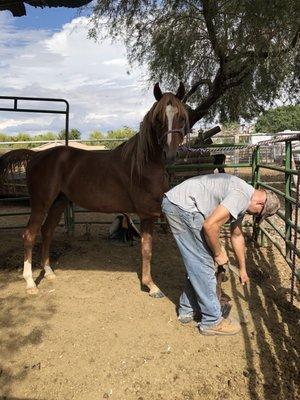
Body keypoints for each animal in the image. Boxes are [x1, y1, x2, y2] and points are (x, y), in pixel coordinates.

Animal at [0, 83, 190, 296]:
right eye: (158, 119)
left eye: (182, 117)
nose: (170, 154)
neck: (141, 166)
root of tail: (35, 155)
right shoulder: (146, 214)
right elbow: (146, 249)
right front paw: (152, 286)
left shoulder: (152, 215)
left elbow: (147, 248)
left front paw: (151, 285)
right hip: (41, 203)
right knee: (29, 235)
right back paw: (30, 283)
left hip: (59, 202)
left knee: (47, 231)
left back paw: (48, 272)